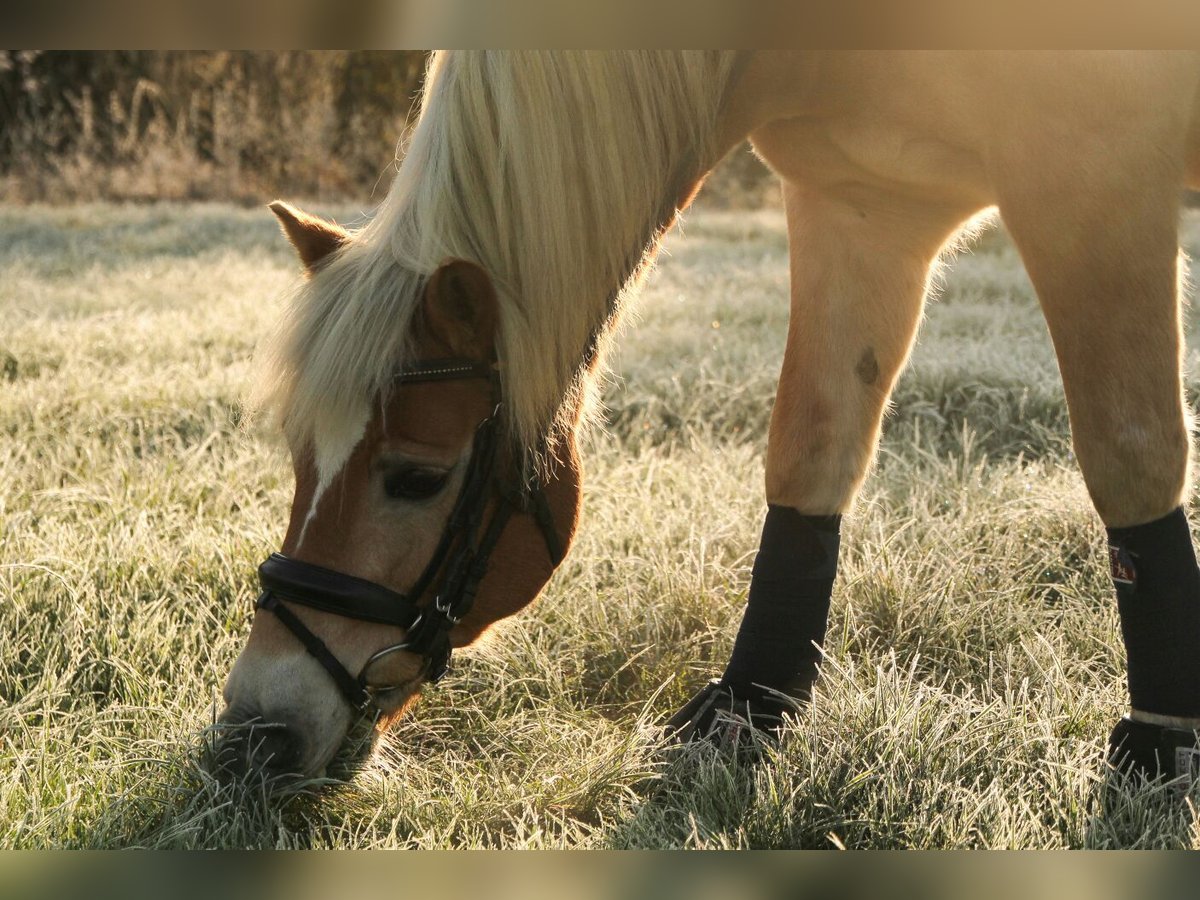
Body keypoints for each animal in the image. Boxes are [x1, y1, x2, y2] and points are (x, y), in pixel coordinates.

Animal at [217, 51, 1200, 781]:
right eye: (299, 457)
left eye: (417, 477)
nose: (254, 732)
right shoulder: (865, 199)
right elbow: (810, 447)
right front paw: (751, 703)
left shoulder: (1094, 186)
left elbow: (1129, 452)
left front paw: (1161, 740)